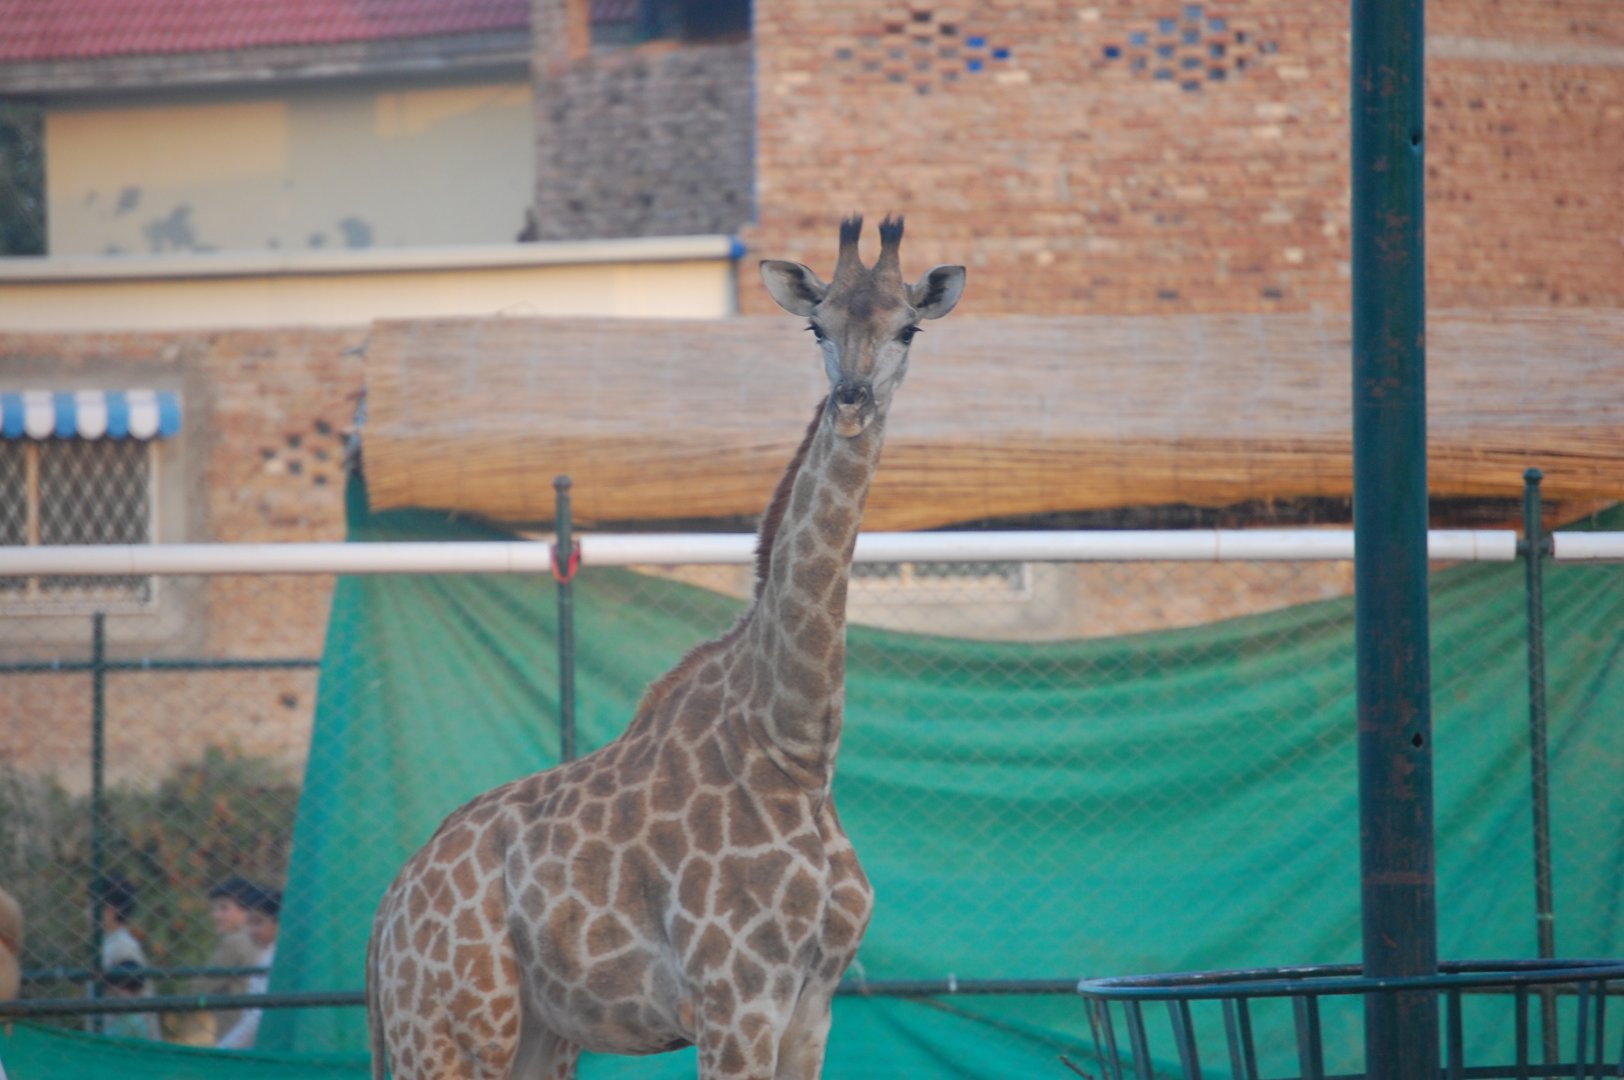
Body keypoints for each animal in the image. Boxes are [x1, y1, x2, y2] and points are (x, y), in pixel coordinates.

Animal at [366, 216, 966, 1080]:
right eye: (817, 326)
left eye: (908, 328)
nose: (851, 402)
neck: (797, 752)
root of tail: (385, 918)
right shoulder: (735, 1000)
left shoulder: (812, 1008)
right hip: (449, 1032)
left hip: (540, 1035)